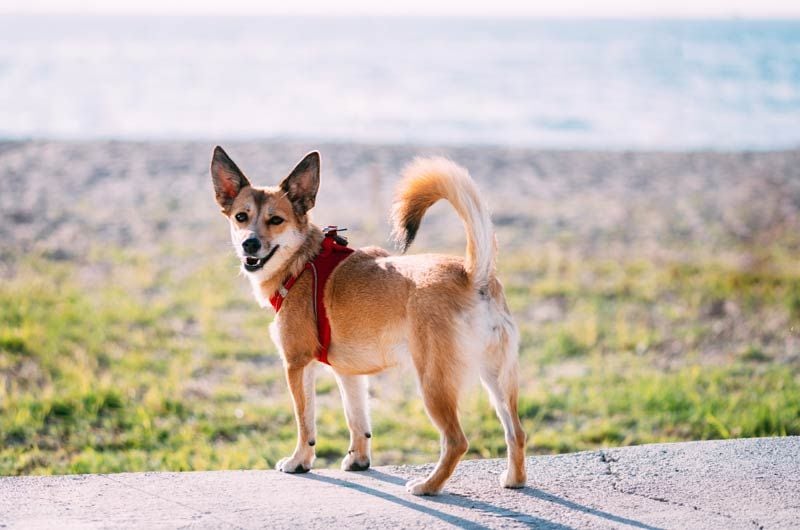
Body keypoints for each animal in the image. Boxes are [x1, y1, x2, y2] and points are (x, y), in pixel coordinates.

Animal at [209, 146, 528, 492]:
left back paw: (428, 486)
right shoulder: (350, 374)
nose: (249, 244)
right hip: (497, 379)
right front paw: (359, 461)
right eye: (241, 217)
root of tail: (472, 274)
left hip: (434, 383)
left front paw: (299, 462)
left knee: (457, 441)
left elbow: (305, 424)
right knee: (516, 432)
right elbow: (357, 420)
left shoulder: (297, 364)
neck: (303, 262)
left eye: (276, 220)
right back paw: (514, 479)